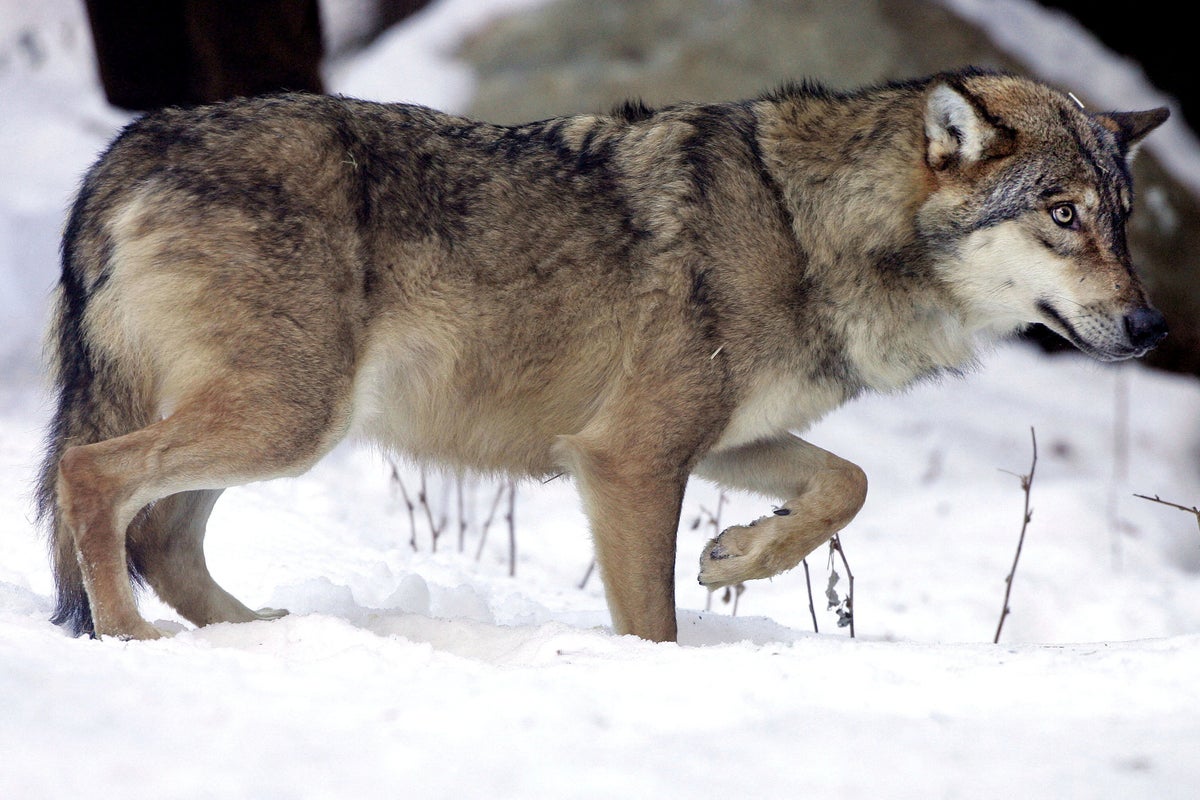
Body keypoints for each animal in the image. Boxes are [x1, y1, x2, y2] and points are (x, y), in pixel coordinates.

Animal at [36, 67, 1168, 643]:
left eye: (1120, 218)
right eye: (1062, 215)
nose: (1152, 329)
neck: (805, 225)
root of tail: (126, 147)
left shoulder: (721, 439)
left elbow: (846, 482)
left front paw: (737, 554)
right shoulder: (629, 457)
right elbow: (653, 617)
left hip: (274, 429)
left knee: (163, 537)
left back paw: (255, 634)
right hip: (286, 424)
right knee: (93, 479)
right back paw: (132, 636)